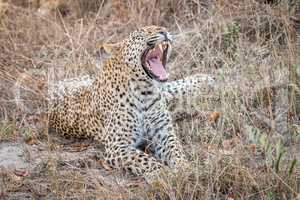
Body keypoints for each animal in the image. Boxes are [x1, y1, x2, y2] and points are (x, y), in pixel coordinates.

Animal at [48, 25, 213, 182]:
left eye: (161, 27)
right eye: (142, 33)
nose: (164, 31)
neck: (146, 92)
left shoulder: (164, 132)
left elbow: (175, 150)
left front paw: (184, 167)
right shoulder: (118, 145)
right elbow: (144, 159)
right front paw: (163, 173)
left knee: (171, 88)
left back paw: (205, 79)